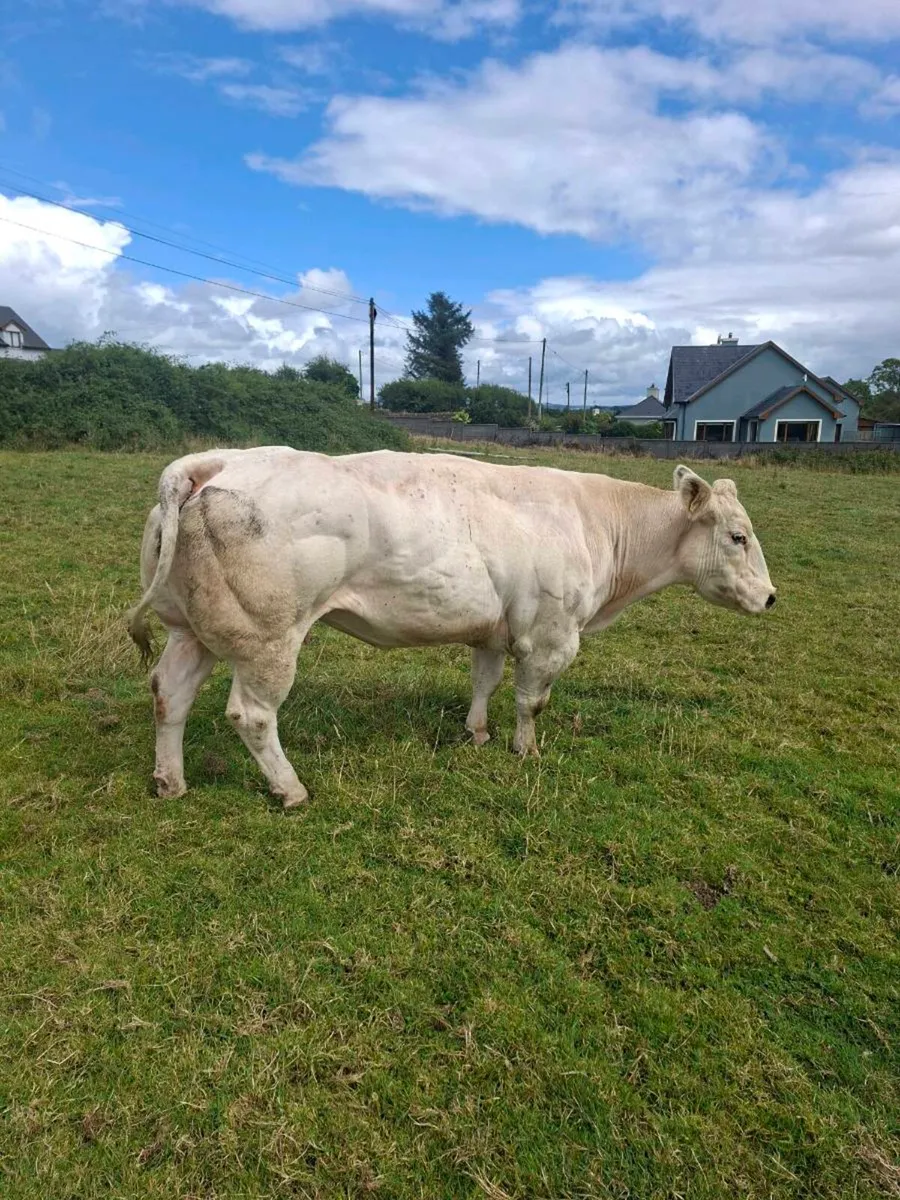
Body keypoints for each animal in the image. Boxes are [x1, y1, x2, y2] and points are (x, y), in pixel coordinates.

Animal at [128, 448, 776, 810]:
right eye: (738, 536)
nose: (771, 597)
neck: (597, 524)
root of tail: (210, 463)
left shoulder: (492, 629)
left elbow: (484, 682)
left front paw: (478, 733)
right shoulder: (551, 634)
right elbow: (531, 700)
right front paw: (524, 750)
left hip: (194, 628)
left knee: (169, 694)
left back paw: (170, 782)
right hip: (268, 636)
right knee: (253, 716)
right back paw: (290, 791)